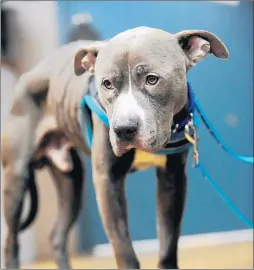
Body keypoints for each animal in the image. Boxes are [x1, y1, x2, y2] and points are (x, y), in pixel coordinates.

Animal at [1, 26, 228, 268]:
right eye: (107, 83)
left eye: (152, 79)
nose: (124, 129)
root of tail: (28, 75)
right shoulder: (107, 180)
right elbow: (123, 248)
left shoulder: (172, 178)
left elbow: (168, 241)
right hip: (16, 178)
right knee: (11, 241)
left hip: (72, 181)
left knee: (57, 236)